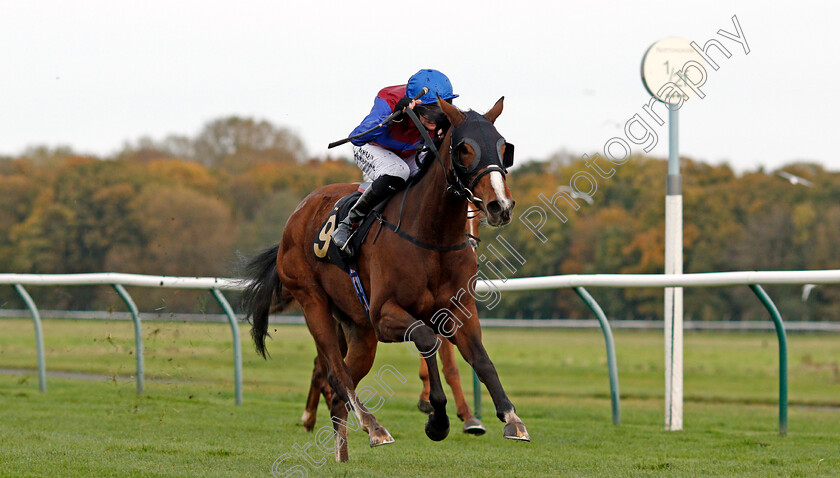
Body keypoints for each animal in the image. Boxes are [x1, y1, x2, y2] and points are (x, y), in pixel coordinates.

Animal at [243, 98, 528, 464]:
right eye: (464, 148)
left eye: (504, 147)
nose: (500, 205)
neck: (432, 234)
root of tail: (298, 213)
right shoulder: (384, 315)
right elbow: (426, 340)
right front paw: (437, 420)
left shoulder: (458, 311)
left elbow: (480, 359)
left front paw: (511, 418)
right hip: (313, 302)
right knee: (336, 375)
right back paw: (373, 427)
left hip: (359, 329)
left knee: (340, 385)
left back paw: (343, 454)